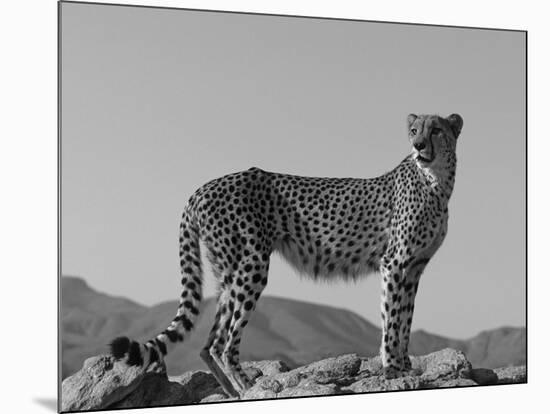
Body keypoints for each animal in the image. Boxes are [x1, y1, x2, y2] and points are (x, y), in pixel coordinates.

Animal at [111, 113, 466, 398]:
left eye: (436, 130)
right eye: (414, 130)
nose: (418, 145)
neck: (436, 183)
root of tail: (203, 188)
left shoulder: (414, 268)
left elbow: (405, 318)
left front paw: (405, 365)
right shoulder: (394, 264)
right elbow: (392, 319)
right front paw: (392, 368)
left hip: (228, 272)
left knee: (209, 342)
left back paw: (231, 391)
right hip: (251, 265)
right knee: (225, 343)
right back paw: (247, 386)